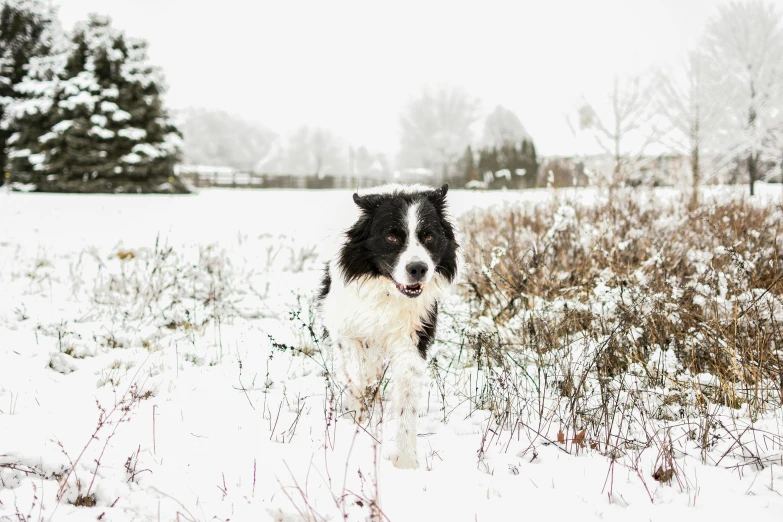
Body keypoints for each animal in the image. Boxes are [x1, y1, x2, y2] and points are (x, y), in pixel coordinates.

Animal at [316, 183, 460, 468]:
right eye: (392, 237)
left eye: (429, 237)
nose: (418, 268)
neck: (388, 292)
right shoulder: (345, 329)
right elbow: (360, 370)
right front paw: (356, 415)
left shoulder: (412, 339)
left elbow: (406, 397)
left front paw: (405, 459)